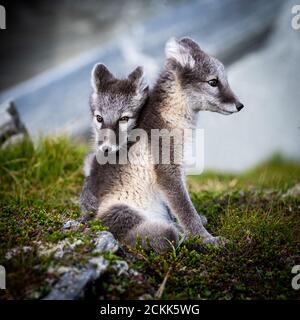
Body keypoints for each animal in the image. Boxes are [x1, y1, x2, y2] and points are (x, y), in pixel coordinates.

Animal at [81, 37, 245, 252]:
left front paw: (193, 225)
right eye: (213, 82)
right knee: (166, 236)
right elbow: (186, 211)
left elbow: (177, 207)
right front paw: (207, 240)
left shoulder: (180, 170)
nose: (240, 105)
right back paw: (179, 234)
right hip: (122, 212)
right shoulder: (167, 171)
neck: (171, 117)